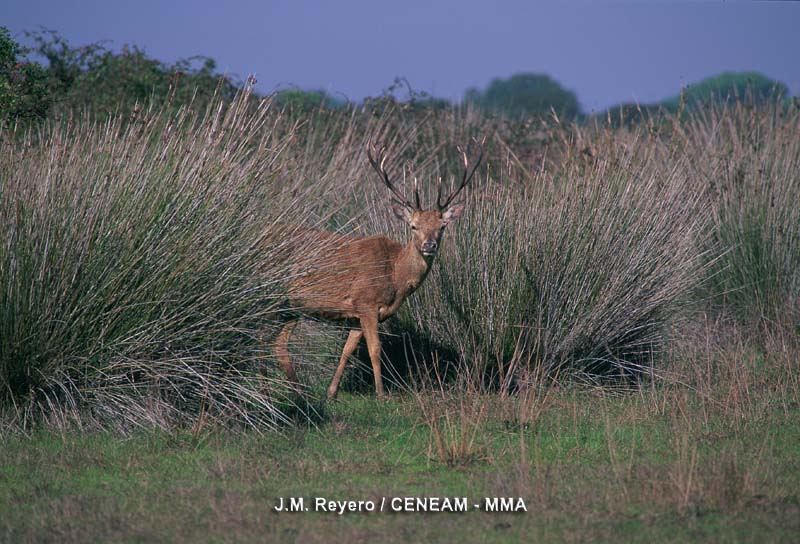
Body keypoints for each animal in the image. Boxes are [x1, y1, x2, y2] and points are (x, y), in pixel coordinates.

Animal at [272, 138, 484, 398]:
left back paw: (300, 390)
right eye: (413, 226)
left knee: (278, 343)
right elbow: (375, 350)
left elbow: (347, 350)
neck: (395, 275)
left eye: (442, 226)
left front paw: (332, 392)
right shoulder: (367, 302)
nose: (429, 245)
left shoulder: (356, 314)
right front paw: (381, 394)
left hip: (291, 307)